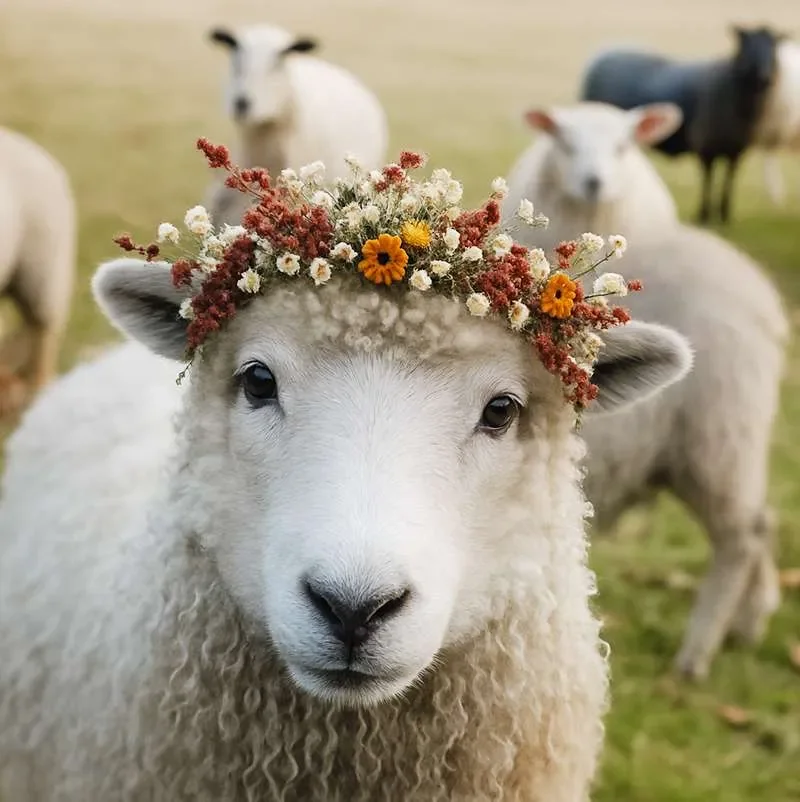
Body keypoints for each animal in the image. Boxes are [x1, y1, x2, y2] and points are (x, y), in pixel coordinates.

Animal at [503, 105, 790, 679]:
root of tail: (759, 292)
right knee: (763, 521)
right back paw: (750, 622)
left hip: (719, 432)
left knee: (743, 534)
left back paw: (696, 654)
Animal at [580, 25, 783, 224]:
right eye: (746, 45)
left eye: (773, 46)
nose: (765, 77)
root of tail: (605, 51)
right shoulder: (706, 147)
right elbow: (708, 180)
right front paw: (704, 214)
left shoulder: (735, 151)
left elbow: (728, 180)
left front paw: (724, 213)